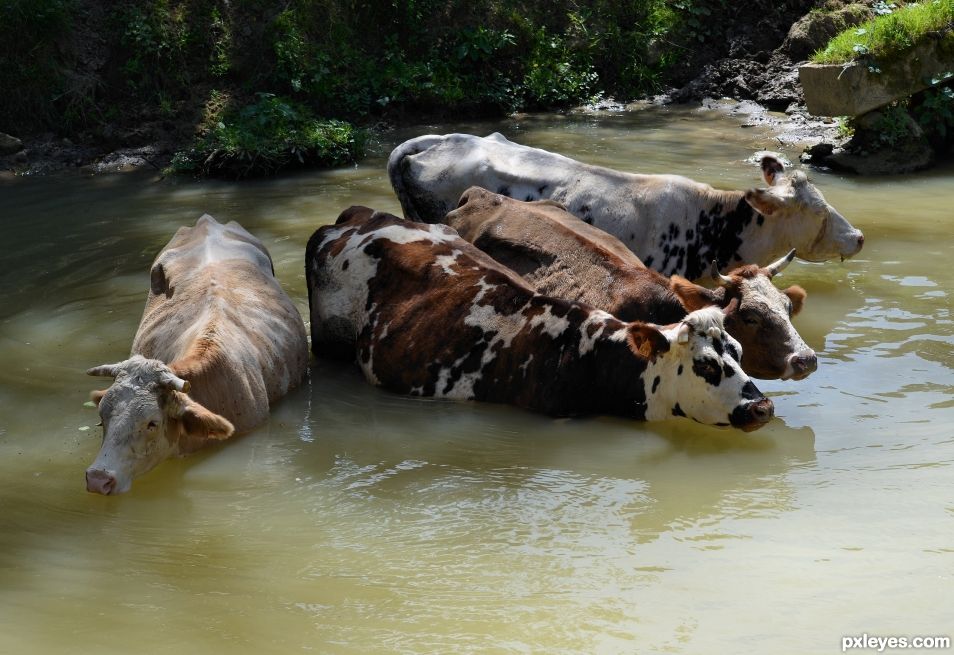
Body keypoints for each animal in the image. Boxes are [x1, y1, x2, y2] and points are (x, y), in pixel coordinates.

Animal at [304, 205, 772, 430]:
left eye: (738, 352)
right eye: (706, 365)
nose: (763, 406)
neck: (583, 354)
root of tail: (359, 216)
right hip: (328, 346)